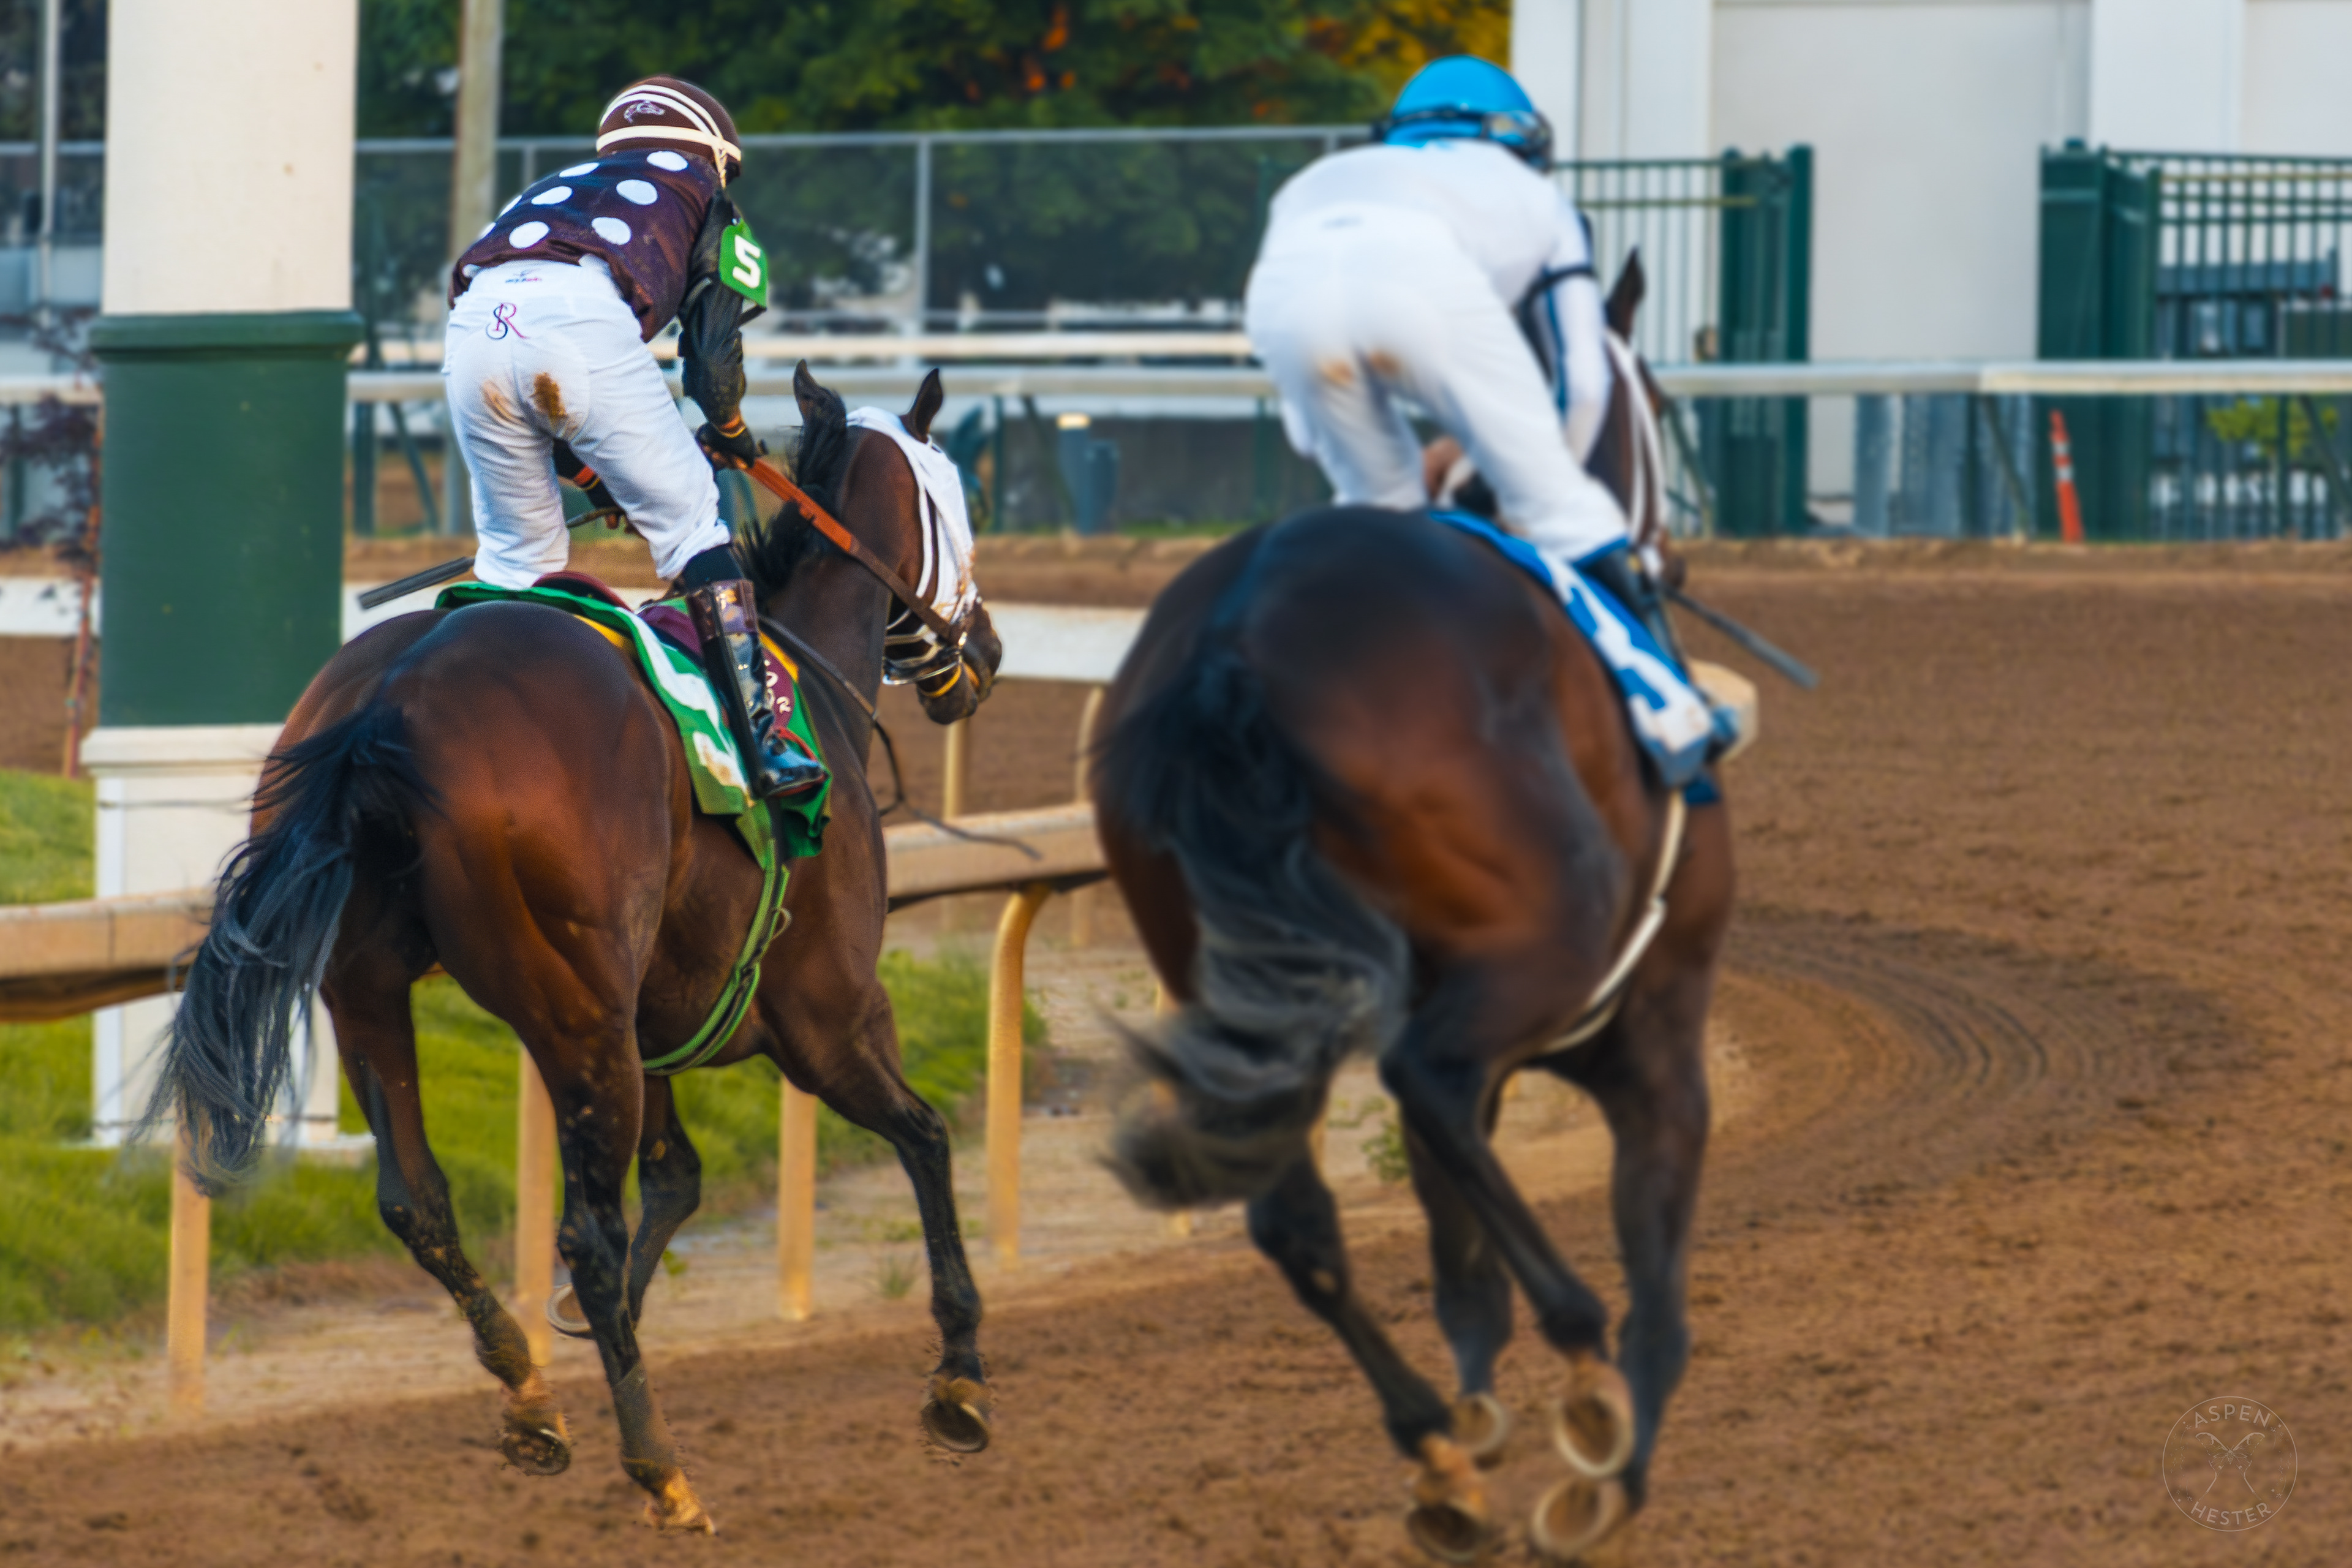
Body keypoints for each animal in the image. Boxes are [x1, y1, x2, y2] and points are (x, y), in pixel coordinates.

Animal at [149, 364, 1004, 1534]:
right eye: (961, 504)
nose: (988, 653)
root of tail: (393, 701)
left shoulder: (658, 1026)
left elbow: (679, 1176)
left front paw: (580, 1340)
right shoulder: (826, 1019)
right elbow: (926, 1139)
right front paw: (960, 1374)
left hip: (377, 990)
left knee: (419, 1201)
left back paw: (529, 1391)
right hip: (574, 1009)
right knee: (583, 1233)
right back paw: (659, 1465)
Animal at [1090, 258, 1730, 1562]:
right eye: (1659, 403)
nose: (1674, 557)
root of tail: (1233, 638)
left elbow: (1459, 1252)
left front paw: (1480, 1421)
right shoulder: (1653, 1027)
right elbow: (1656, 1270)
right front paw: (1611, 1463)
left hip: (1233, 989)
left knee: (1292, 1214)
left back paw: (1438, 1454)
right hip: (1536, 950)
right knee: (1422, 1084)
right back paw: (1581, 1369)